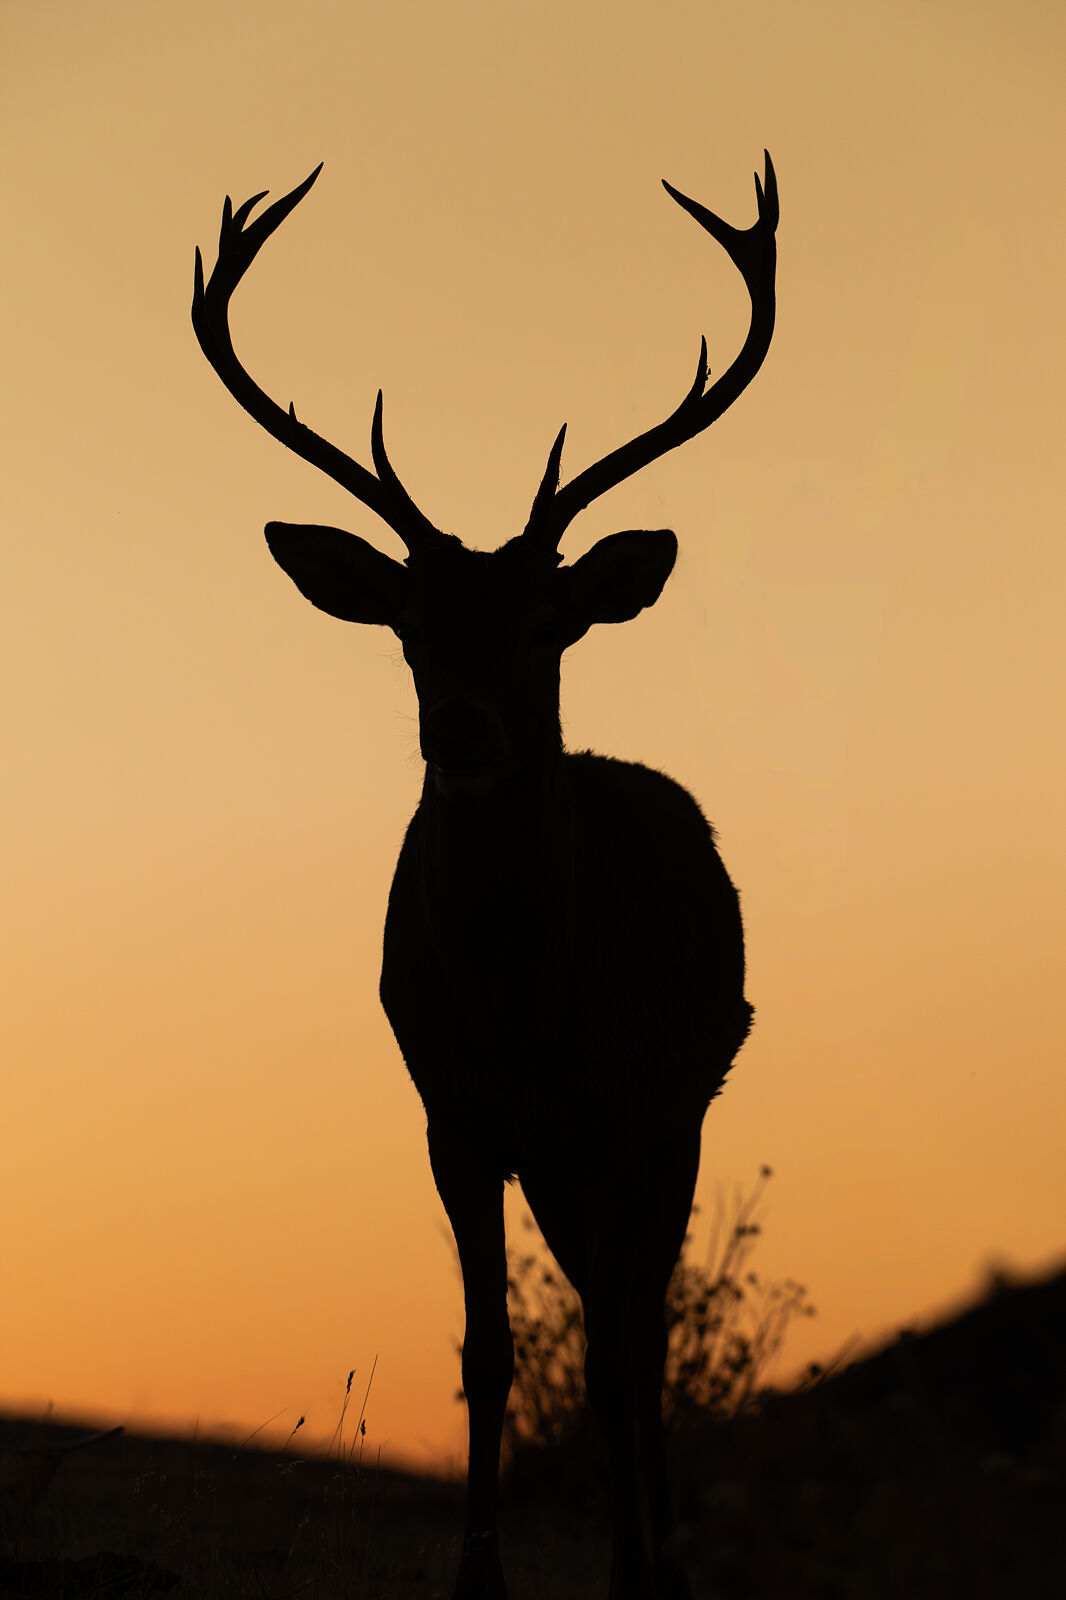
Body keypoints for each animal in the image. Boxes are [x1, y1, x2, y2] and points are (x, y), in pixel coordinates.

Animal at [192, 152, 777, 1600]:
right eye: (408, 625)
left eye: (546, 622)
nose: (458, 731)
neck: (523, 1001)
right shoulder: (450, 1110)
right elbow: (488, 1347)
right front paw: (476, 1581)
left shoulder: (629, 1103)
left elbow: (617, 1348)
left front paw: (634, 1575)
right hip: (559, 1156)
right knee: (607, 1313)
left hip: (679, 1104)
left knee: (640, 1325)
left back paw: (663, 1553)